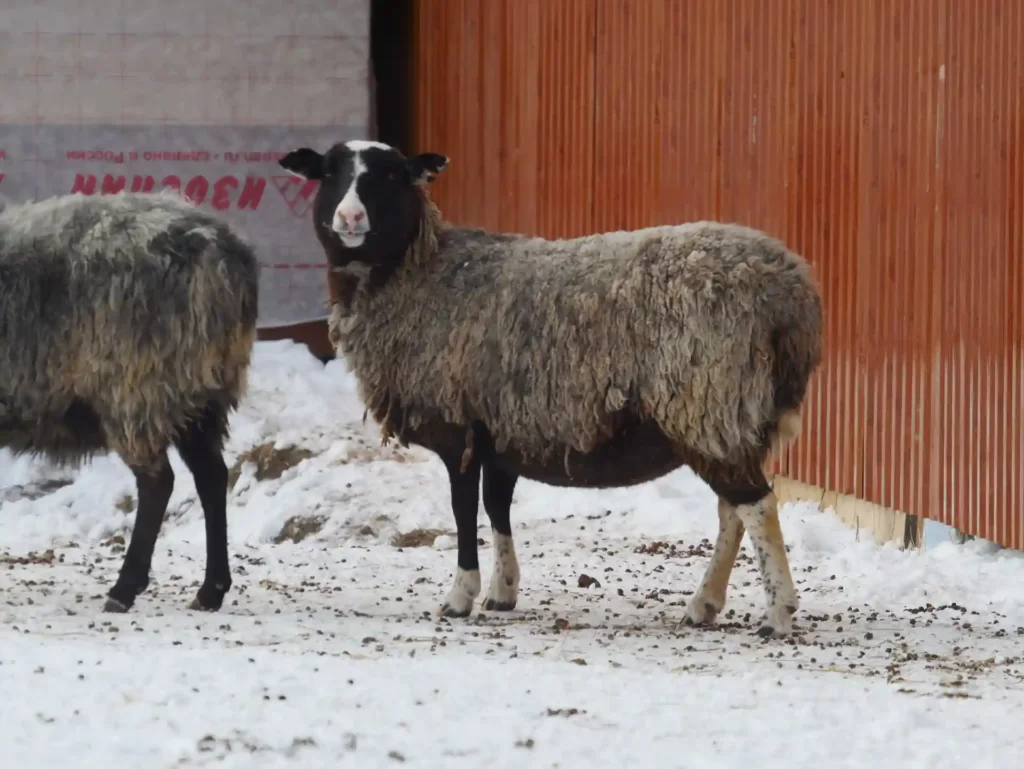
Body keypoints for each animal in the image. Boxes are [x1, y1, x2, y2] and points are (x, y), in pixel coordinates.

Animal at [0, 189, 259, 613]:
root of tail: (223, 254)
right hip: (200, 392)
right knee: (212, 477)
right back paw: (211, 590)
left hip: (139, 387)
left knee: (158, 483)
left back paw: (124, 589)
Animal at [279, 139, 823, 637]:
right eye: (329, 172)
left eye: (391, 175)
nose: (350, 217)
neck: (420, 272)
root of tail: (790, 295)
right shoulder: (499, 430)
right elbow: (497, 506)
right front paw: (502, 591)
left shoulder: (460, 428)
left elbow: (462, 510)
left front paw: (460, 596)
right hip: (729, 416)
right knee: (733, 510)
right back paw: (704, 604)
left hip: (706, 402)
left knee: (757, 505)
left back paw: (778, 613)